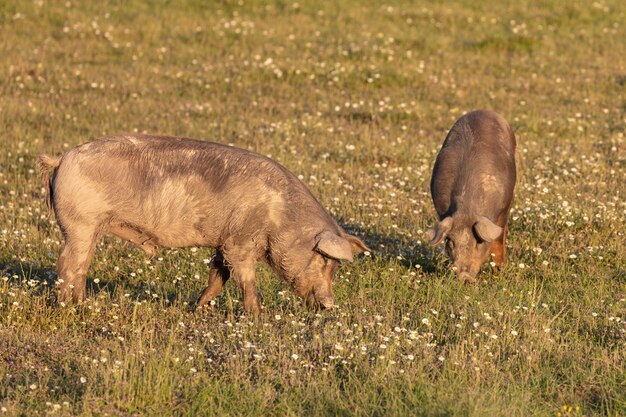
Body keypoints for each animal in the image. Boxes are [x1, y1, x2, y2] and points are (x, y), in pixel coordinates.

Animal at [37, 135, 370, 314]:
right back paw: (70, 307)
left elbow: (217, 275)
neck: (279, 217)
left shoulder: (224, 242)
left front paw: (198, 307)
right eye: (324, 260)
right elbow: (246, 280)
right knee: (68, 264)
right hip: (80, 223)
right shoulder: (239, 242)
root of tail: (61, 159)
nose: (329, 305)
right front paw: (256, 316)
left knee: (80, 266)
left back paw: (82, 303)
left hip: (88, 228)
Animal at [426, 109, 516, 282]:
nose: (464, 276)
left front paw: (498, 274)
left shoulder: (504, 206)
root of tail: (484, 110)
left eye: (478, 242)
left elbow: (497, 238)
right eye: (450, 242)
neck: (466, 208)